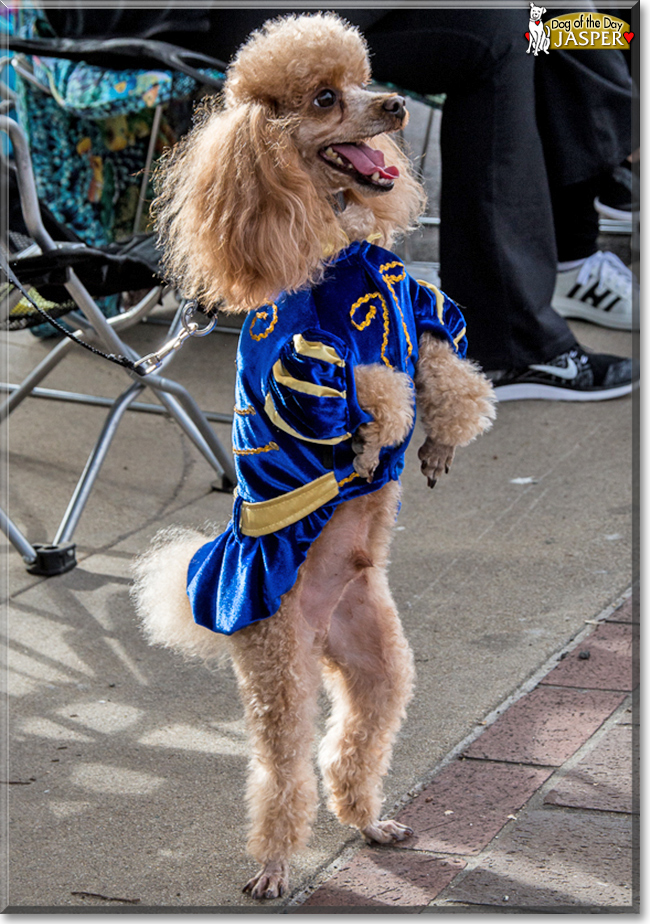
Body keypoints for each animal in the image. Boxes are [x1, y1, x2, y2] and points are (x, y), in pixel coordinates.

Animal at [134, 12, 494, 904]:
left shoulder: (419, 309)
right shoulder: (303, 361)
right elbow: (376, 389)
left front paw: (440, 436)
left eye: (366, 78)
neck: (343, 250)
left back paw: (368, 821)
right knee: (283, 768)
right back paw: (273, 862)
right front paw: (381, 438)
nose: (396, 106)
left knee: (354, 742)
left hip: (377, 661)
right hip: (280, 671)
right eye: (325, 98)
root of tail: (321, 622)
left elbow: (447, 371)